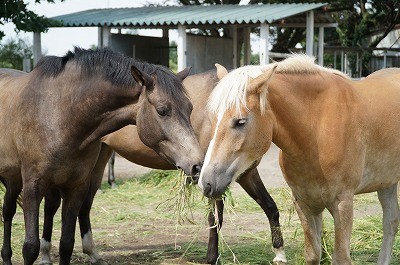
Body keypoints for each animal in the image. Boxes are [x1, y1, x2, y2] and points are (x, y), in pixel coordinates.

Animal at [0, 47, 203, 264]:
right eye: (162, 110)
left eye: (190, 108)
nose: (197, 165)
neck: (59, 114)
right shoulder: (33, 187)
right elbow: (30, 247)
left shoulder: (75, 188)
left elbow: (66, 244)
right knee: (8, 211)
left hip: (15, 179)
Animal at [39, 70, 288, 264]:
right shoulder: (213, 176)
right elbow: (215, 217)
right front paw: (212, 257)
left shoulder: (244, 172)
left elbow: (270, 207)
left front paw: (279, 253)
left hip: (100, 156)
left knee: (86, 203)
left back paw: (92, 252)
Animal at [200, 54, 400, 262]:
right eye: (213, 119)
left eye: (240, 121)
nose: (206, 182)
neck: (317, 131)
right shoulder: (305, 203)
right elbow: (312, 254)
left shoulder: (343, 204)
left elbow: (341, 257)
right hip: (386, 183)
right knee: (391, 222)